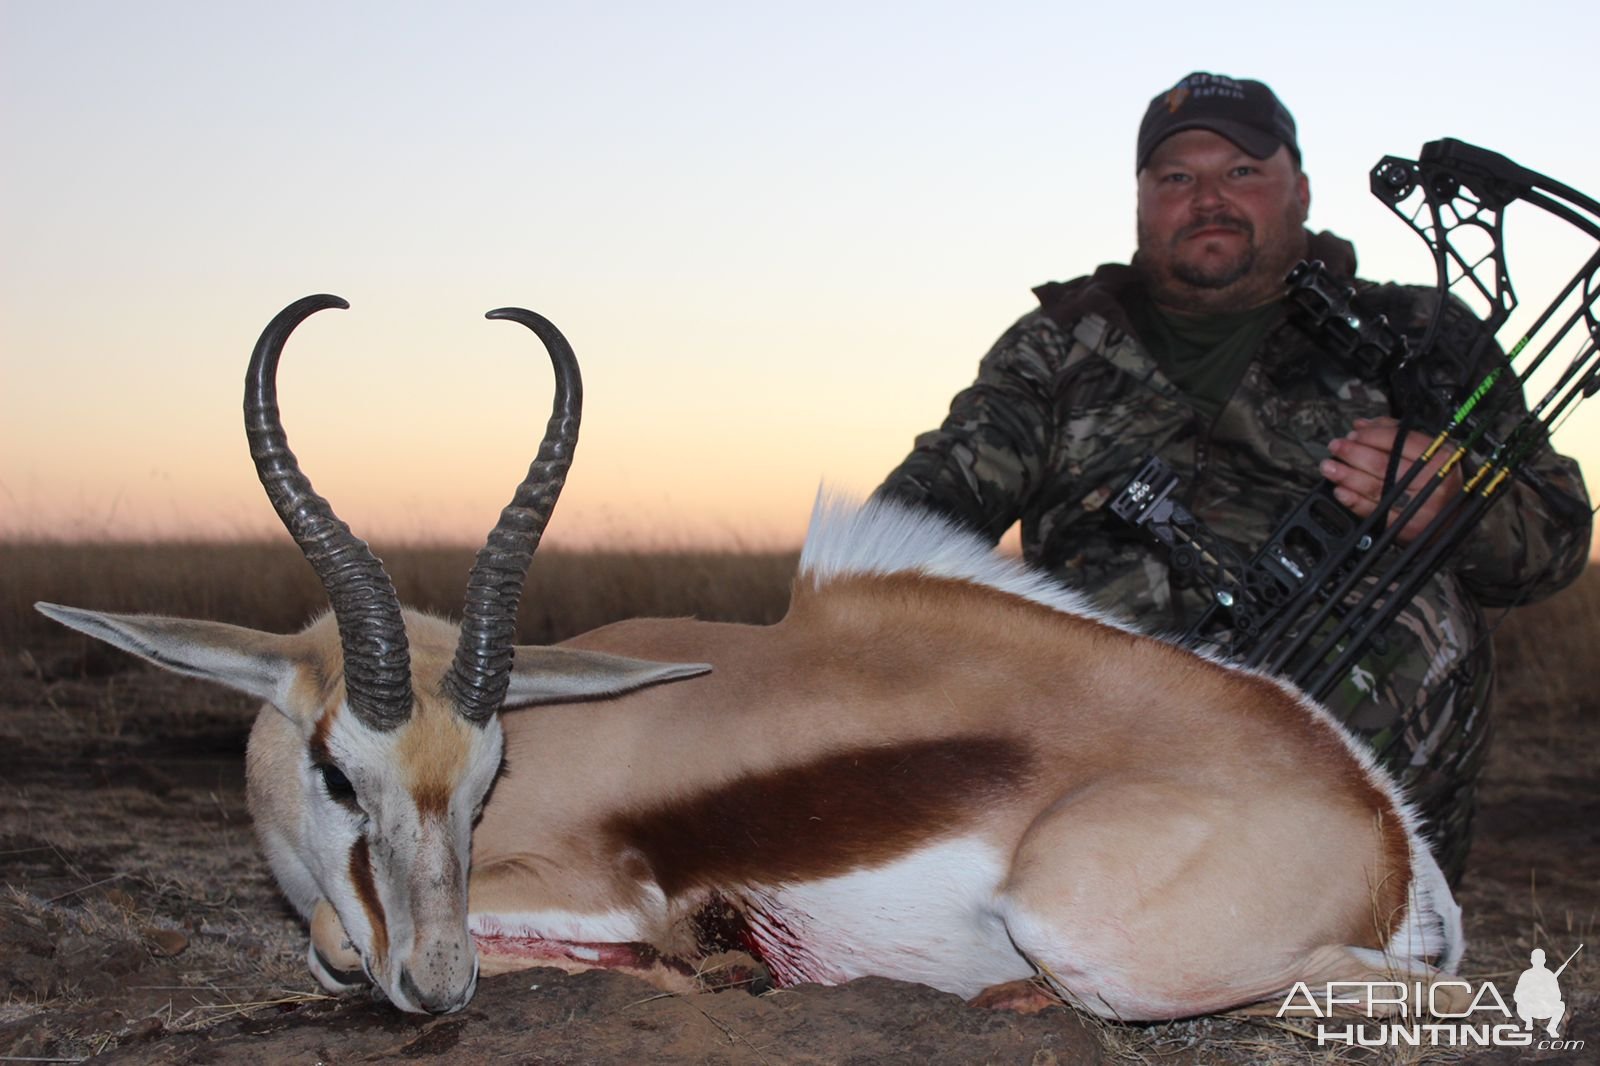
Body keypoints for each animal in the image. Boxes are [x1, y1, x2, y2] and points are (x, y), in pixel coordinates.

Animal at [37, 294, 1465, 1017]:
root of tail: (1380, 825)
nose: (436, 992)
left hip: (1088, 930)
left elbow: (339, 941)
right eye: (341, 771)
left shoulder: (582, 884)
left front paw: (706, 955)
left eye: (494, 771)